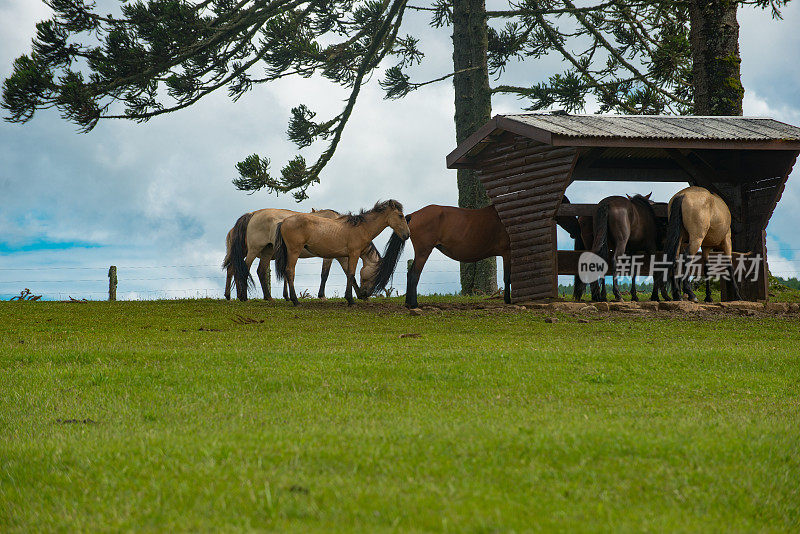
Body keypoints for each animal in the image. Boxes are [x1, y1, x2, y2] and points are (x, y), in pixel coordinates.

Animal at [220, 208, 380, 302]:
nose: (368, 293)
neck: (343, 228)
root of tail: (252, 215)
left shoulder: (342, 256)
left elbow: (349, 273)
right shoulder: (331, 256)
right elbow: (326, 274)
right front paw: (322, 296)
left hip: (263, 251)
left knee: (244, 270)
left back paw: (260, 297)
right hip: (254, 250)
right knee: (243, 269)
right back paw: (243, 296)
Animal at [276, 201, 412, 308]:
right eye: (400, 215)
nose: (407, 234)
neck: (361, 227)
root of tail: (283, 222)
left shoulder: (344, 257)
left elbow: (349, 275)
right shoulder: (353, 254)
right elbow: (351, 274)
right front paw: (351, 300)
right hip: (294, 251)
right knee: (290, 271)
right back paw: (295, 301)